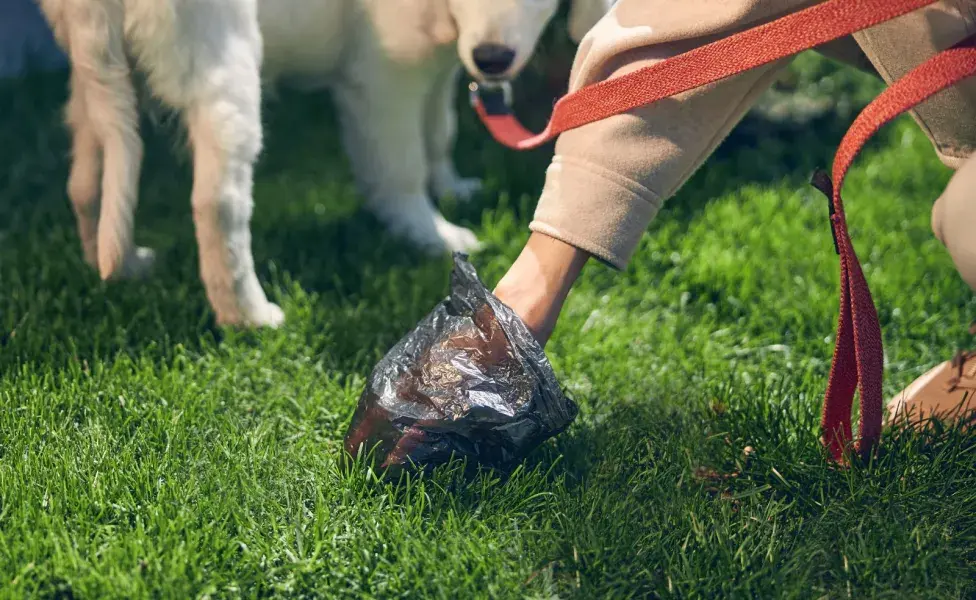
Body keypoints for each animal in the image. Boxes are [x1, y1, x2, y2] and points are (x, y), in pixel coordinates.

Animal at [34, 0, 560, 328]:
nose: (492, 60)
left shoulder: (437, 65)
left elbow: (439, 128)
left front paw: (452, 187)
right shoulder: (384, 74)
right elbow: (400, 165)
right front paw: (429, 234)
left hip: (103, 76)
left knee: (88, 179)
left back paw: (119, 265)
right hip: (222, 63)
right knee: (217, 202)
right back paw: (248, 314)